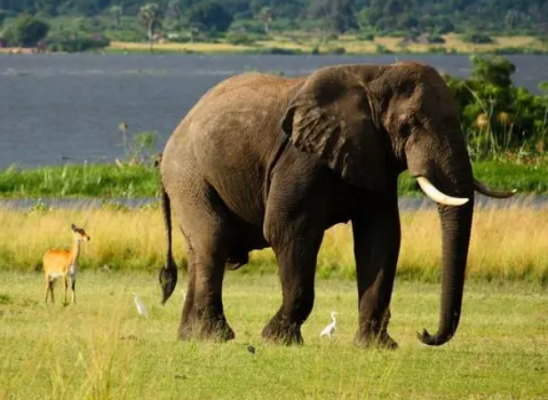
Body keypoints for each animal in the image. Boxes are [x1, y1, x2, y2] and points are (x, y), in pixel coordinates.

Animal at [157, 61, 512, 346]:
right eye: (409, 125)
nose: (424, 334)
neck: (376, 75)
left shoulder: (373, 155)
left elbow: (380, 238)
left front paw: (376, 346)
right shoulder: (301, 157)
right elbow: (289, 230)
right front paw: (277, 339)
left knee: (199, 250)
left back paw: (189, 336)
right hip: (189, 175)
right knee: (213, 241)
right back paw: (216, 336)